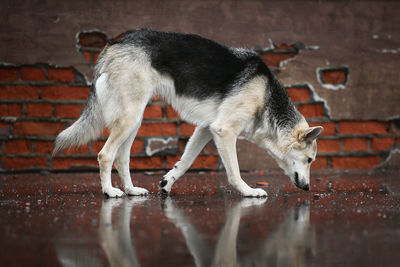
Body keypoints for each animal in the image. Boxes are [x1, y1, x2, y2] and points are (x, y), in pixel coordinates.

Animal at [54, 29, 322, 198]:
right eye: (310, 160)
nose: (308, 189)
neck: (266, 97)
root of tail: (114, 44)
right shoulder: (223, 131)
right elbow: (234, 171)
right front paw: (248, 192)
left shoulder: (206, 129)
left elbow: (185, 162)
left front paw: (167, 182)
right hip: (129, 118)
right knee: (105, 155)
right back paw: (109, 192)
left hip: (134, 120)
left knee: (121, 158)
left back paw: (131, 190)